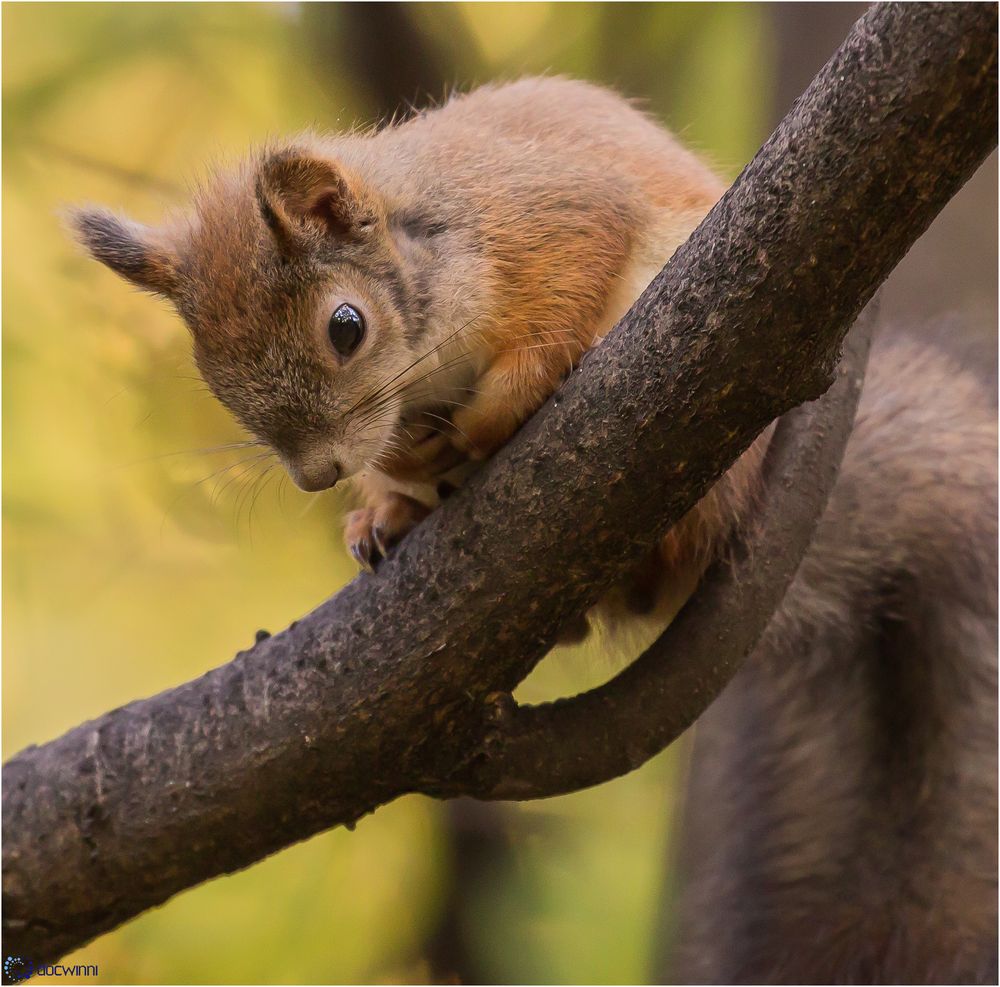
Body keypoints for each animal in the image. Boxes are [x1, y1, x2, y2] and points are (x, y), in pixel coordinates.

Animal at [72, 77, 1000, 980]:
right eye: (212, 372)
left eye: (346, 326)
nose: (319, 474)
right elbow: (401, 450)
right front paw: (396, 484)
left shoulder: (549, 223)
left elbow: (557, 306)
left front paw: (491, 418)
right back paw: (401, 520)